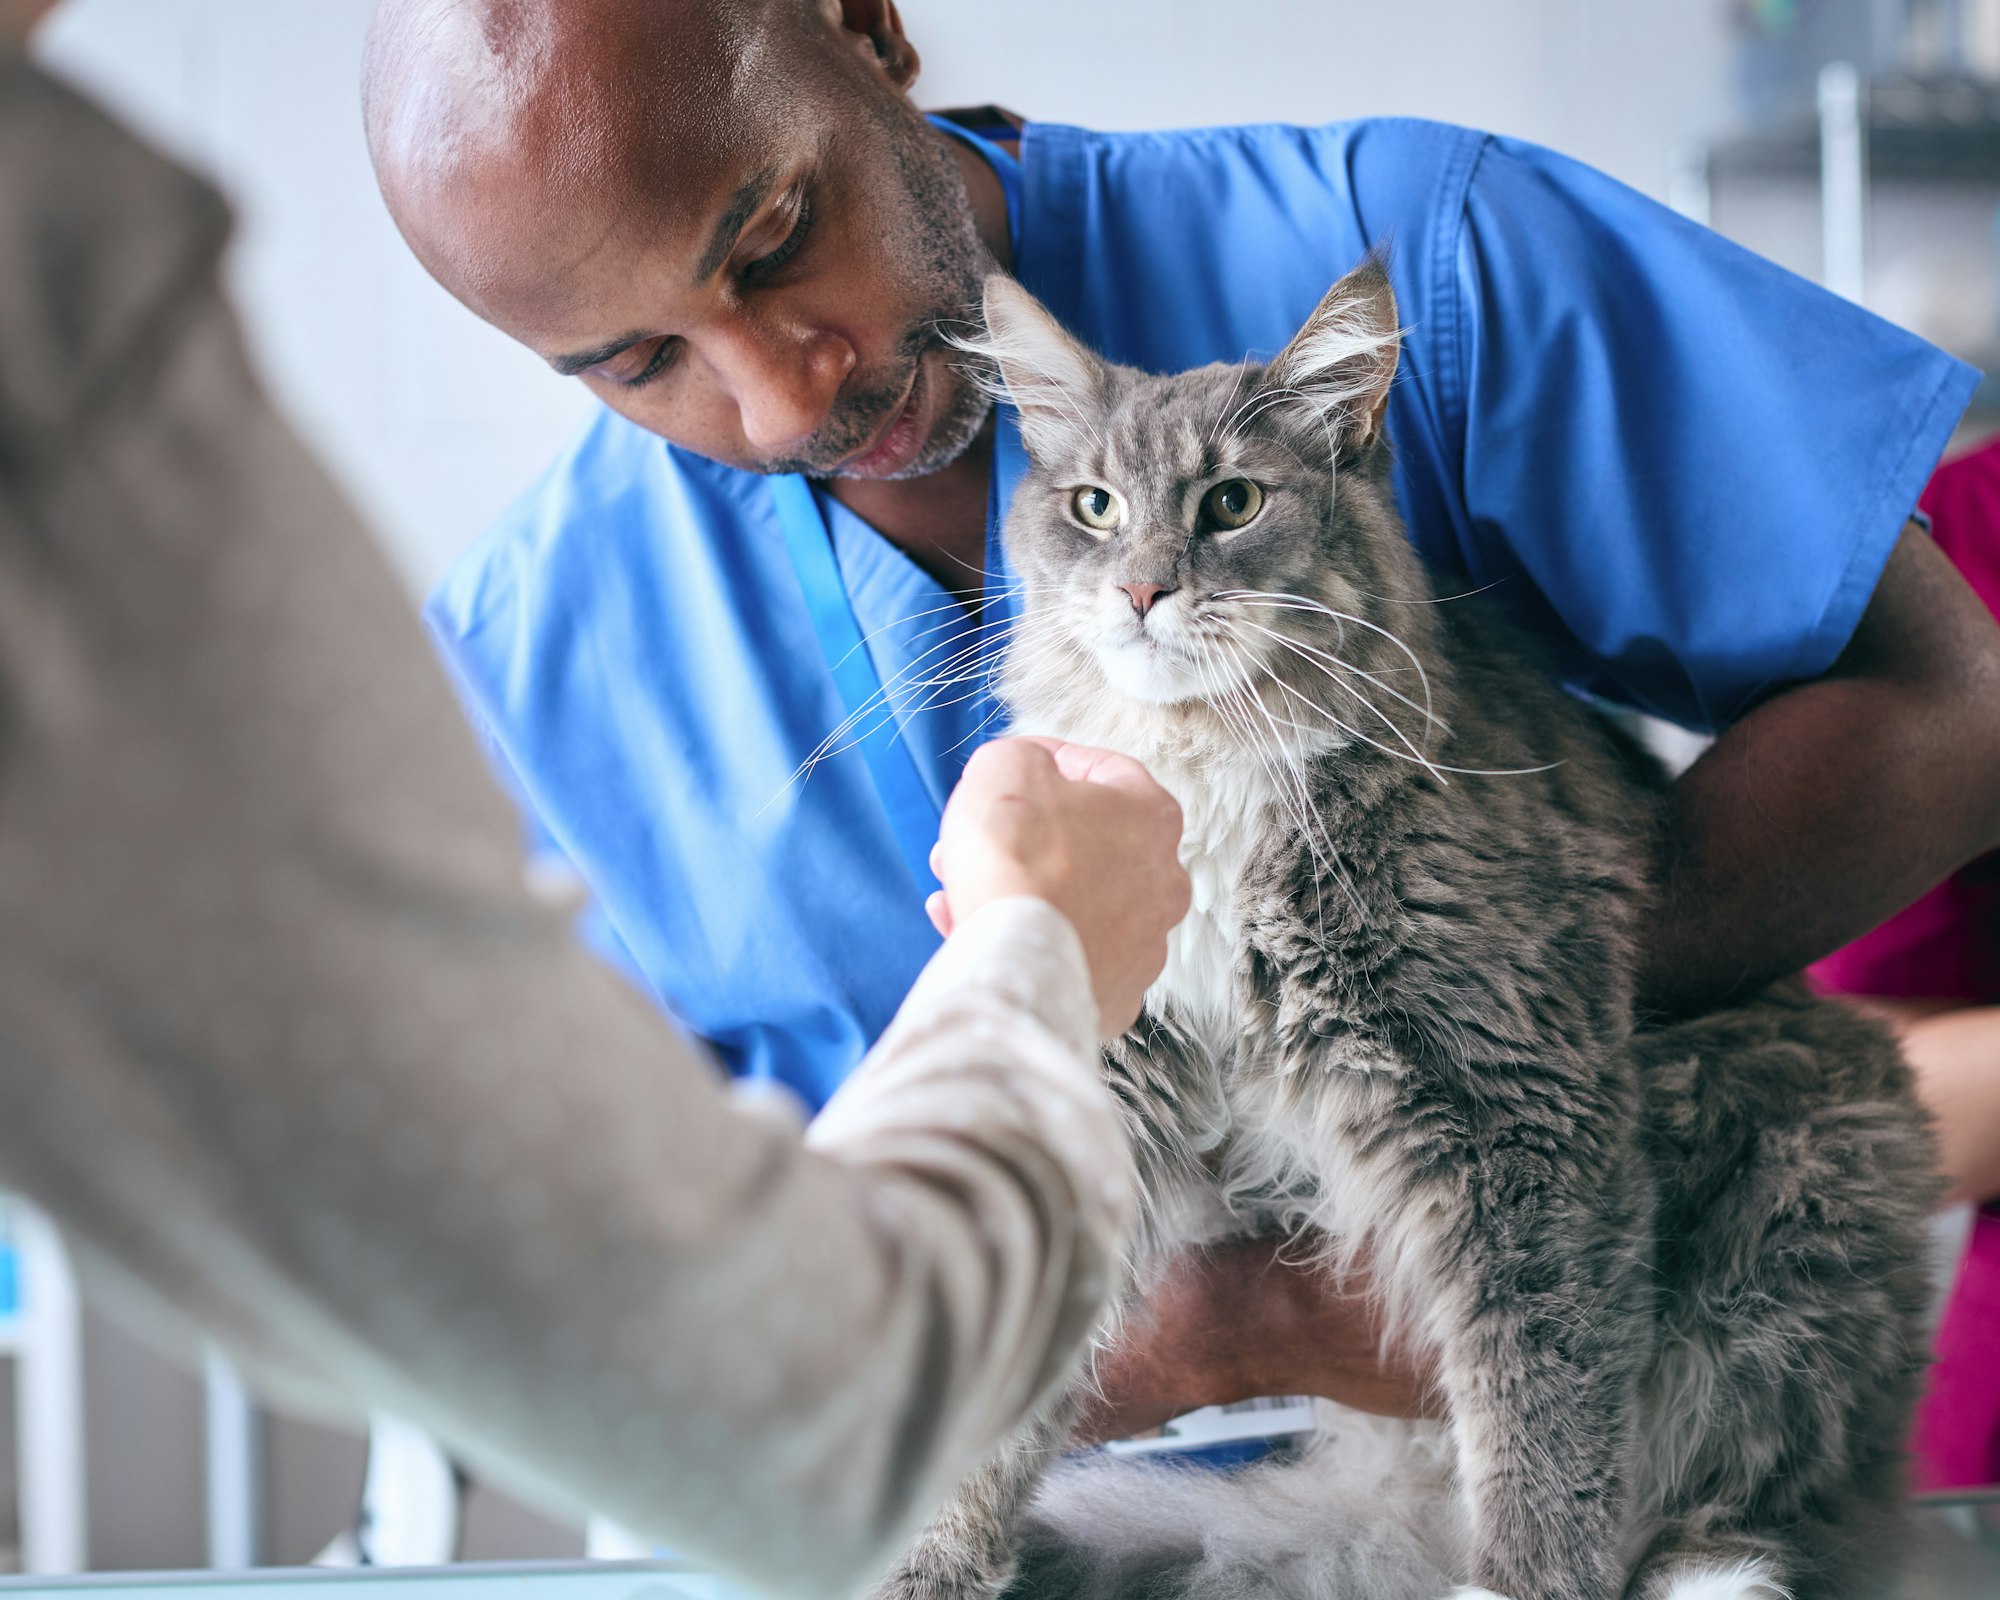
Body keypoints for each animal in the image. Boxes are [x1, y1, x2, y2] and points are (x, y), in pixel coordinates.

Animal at [872, 262, 1936, 1600]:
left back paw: (1697, 1571)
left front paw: (1527, 1582)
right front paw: (928, 1564)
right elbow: (991, 1403)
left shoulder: (1518, 1111)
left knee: (1754, 1510)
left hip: (1809, 1184)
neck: (1202, 772)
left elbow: (1542, 1408)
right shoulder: (1095, 1083)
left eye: (1229, 503)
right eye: (1094, 509)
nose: (1140, 590)